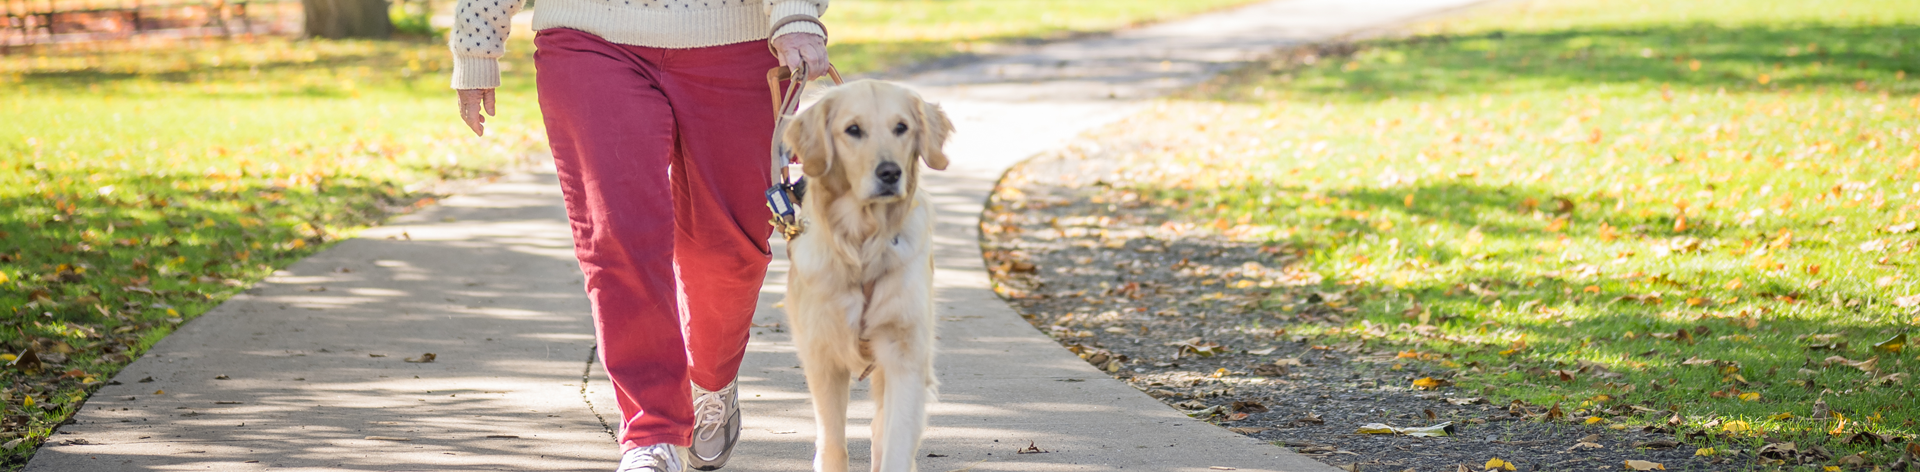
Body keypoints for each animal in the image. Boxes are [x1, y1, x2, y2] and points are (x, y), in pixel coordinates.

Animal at [779, 79, 952, 470]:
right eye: (853, 130)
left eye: (901, 127)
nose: (890, 173)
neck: (863, 246)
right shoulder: (822, 357)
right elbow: (833, 445)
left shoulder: (905, 356)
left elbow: (895, 445)